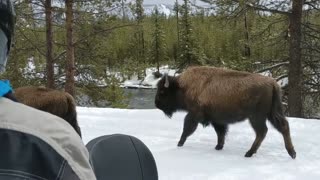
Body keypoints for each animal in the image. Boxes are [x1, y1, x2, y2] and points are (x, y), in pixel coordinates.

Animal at [154, 66, 296, 159]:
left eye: (162, 91)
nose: (156, 104)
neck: (183, 86)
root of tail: (273, 83)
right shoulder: (217, 119)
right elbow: (220, 132)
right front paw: (218, 146)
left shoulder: (194, 114)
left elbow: (187, 129)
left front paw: (179, 144)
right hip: (272, 113)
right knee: (283, 126)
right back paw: (292, 153)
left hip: (256, 117)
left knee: (262, 132)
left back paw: (249, 153)